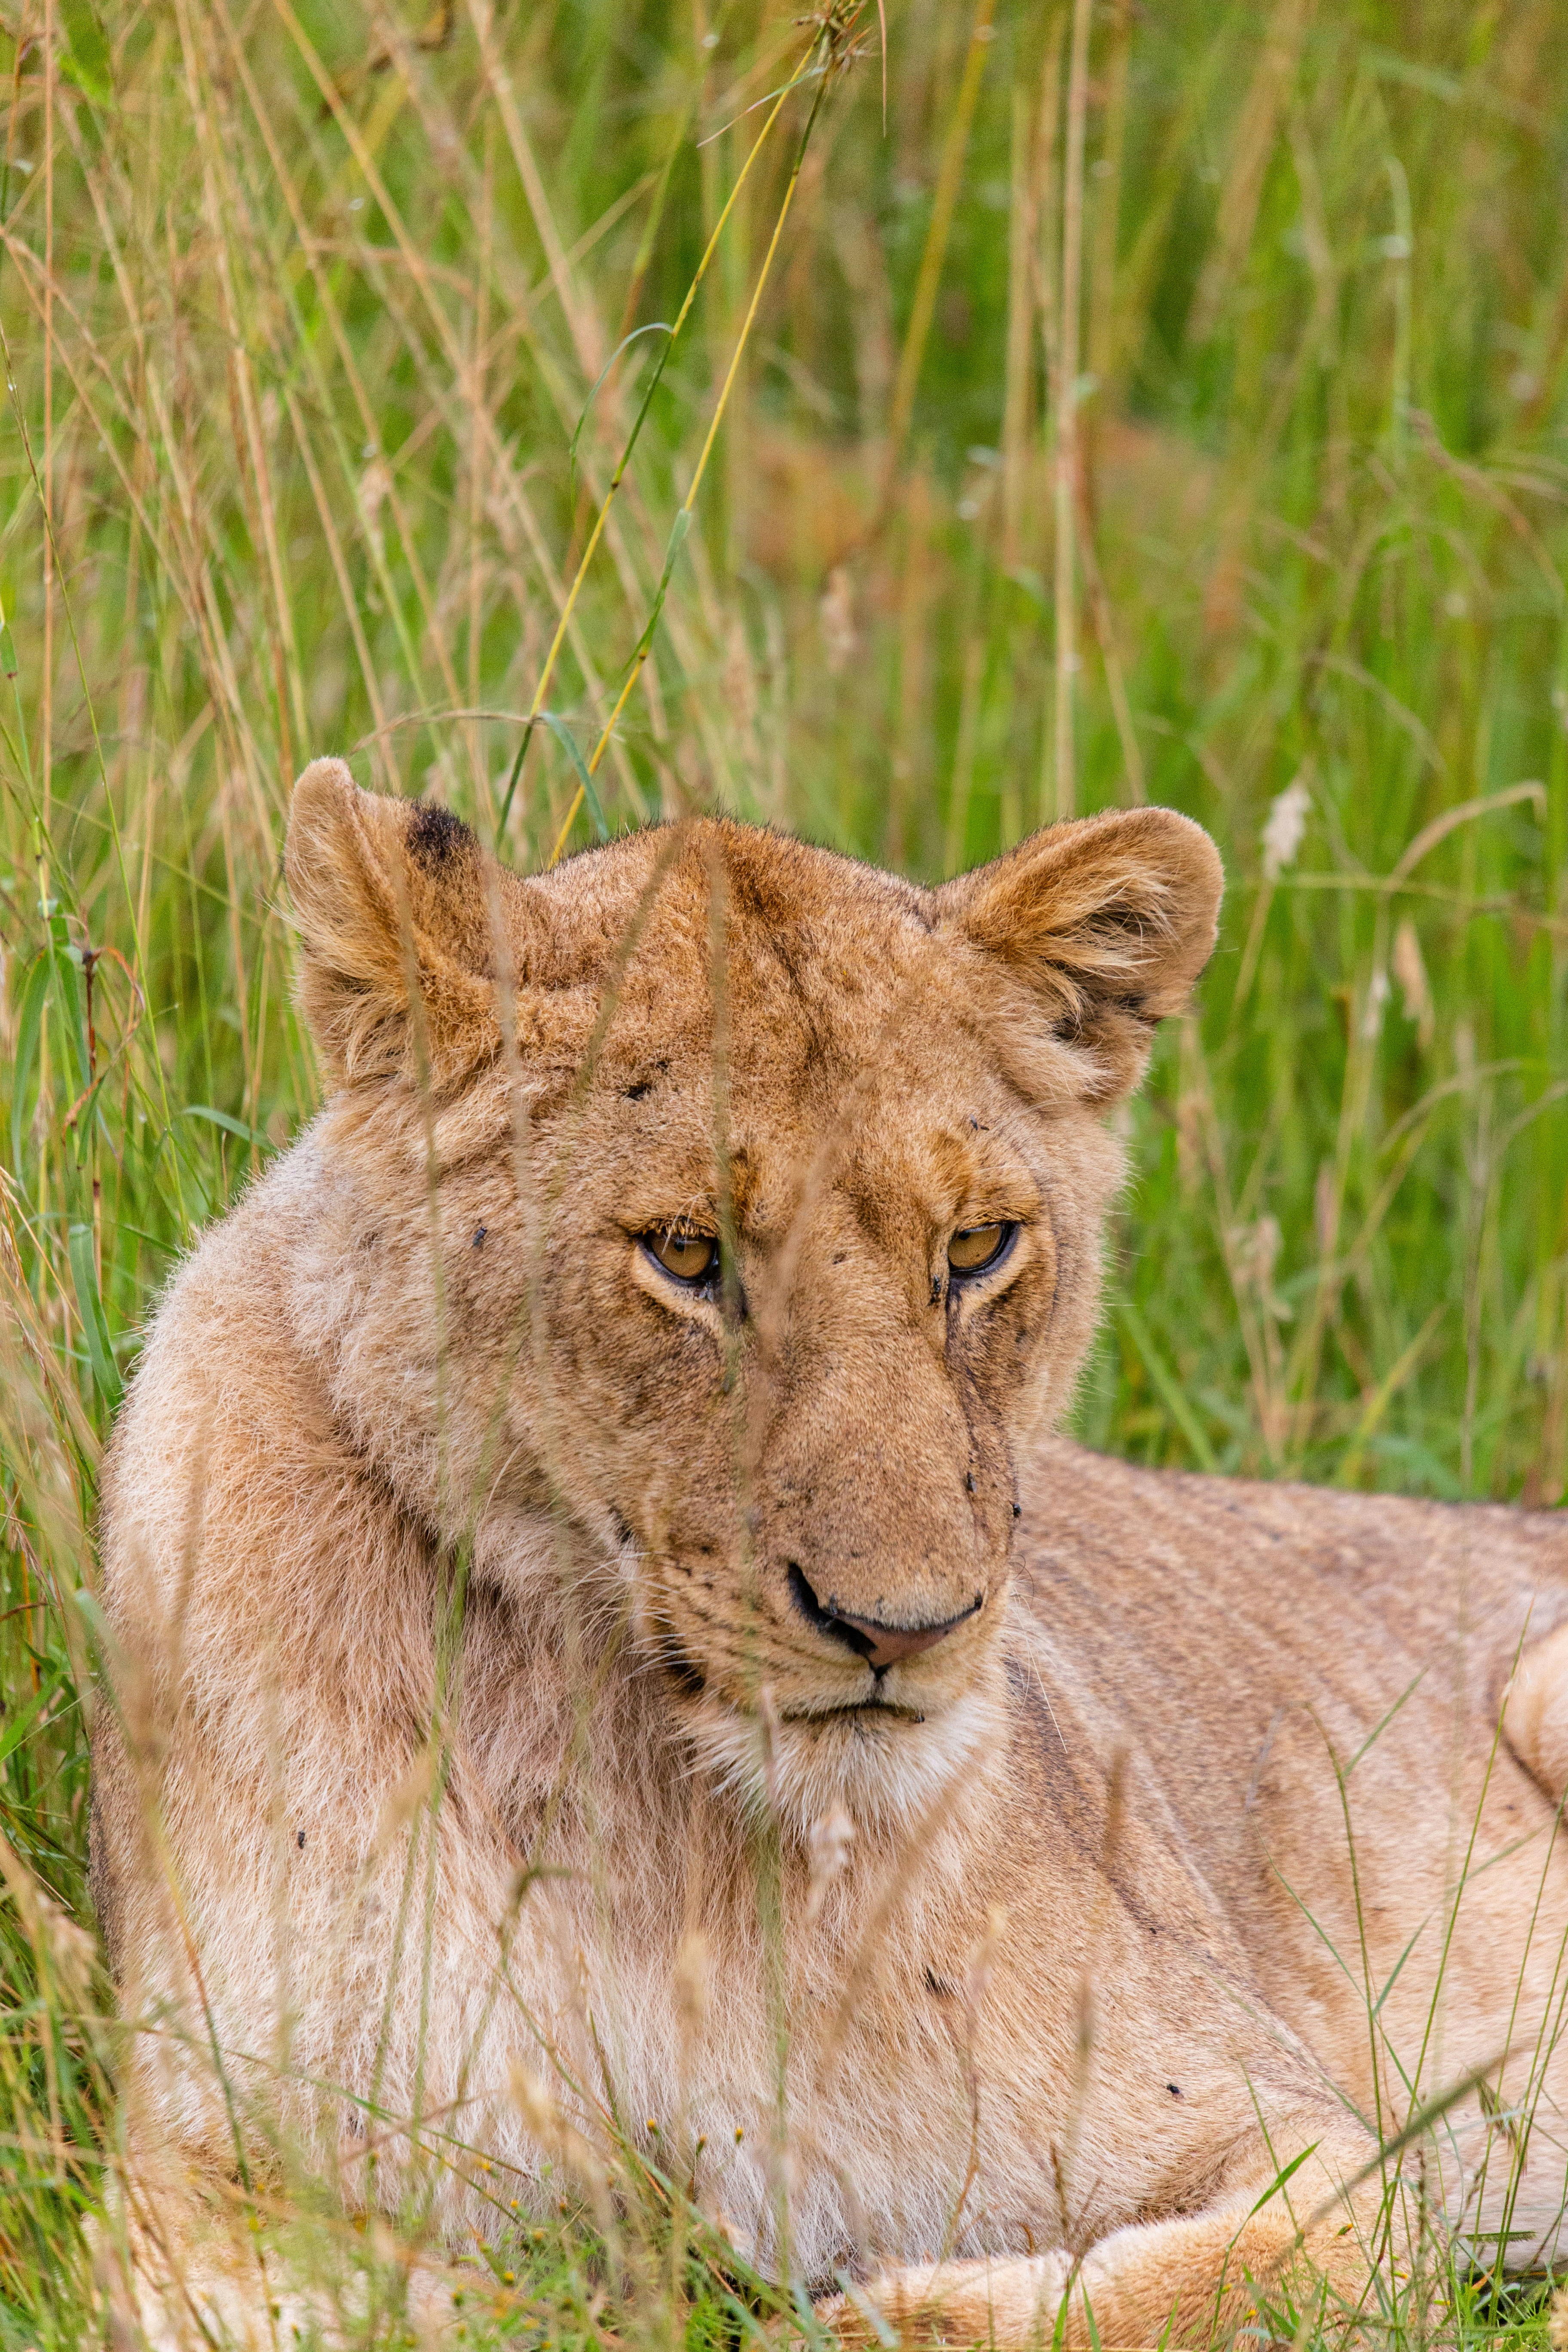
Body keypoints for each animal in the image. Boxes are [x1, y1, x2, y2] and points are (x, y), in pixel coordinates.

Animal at [92, 759, 1568, 2345]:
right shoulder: (210, 2166)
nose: (903, 1629)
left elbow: (1167, 2285)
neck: (668, 1849)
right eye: (685, 1254)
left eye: (978, 1247)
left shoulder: (1311, 2146)